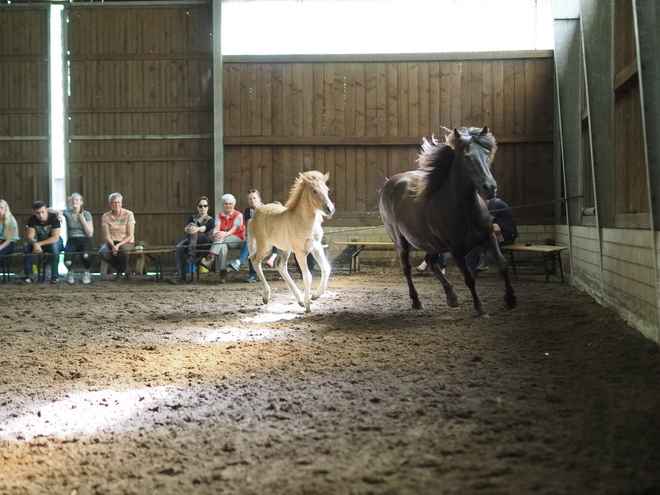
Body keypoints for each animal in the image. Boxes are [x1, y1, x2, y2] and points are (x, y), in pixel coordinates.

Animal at [378, 126, 520, 316]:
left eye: (486, 153)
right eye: (467, 157)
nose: (490, 187)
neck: (466, 210)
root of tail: (390, 184)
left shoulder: (488, 237)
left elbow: (503, 265)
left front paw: (510, 299)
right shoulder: (456, 250)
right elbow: (469, 278)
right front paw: (480, 308)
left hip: (432, 243)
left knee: (431, 262)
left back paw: (451, 296)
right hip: (401, 241)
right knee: (406, 268)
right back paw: (416, 301)